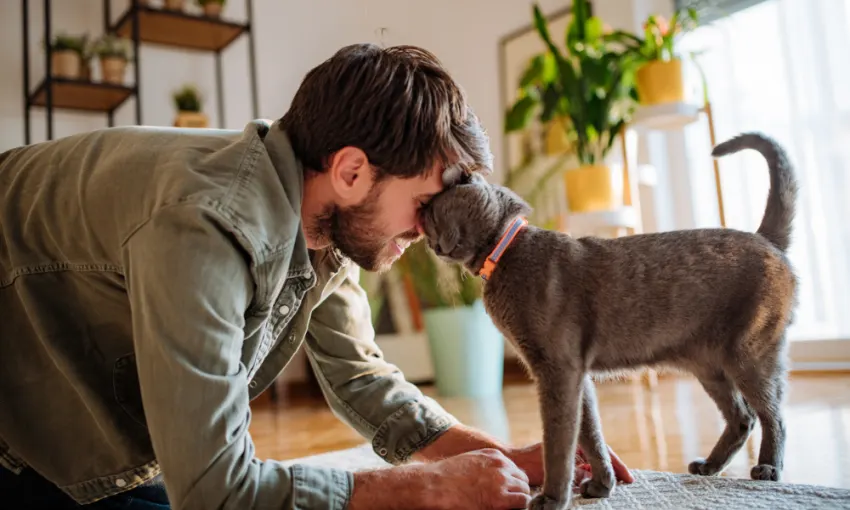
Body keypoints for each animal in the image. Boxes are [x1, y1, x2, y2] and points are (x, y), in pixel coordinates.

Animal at [420, 134, 800, 510]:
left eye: (432, 215)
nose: (432, 245)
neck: (505, 254)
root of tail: (765, 238)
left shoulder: (557, 370)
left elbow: (559, 440)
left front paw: (552, 498)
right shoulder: (576, 373)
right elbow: (589, 433)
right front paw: (603, 484)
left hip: (749, 353)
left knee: (773, 414)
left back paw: (768, 468)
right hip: (708, 365)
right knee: (743, 418)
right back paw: (709, 466)